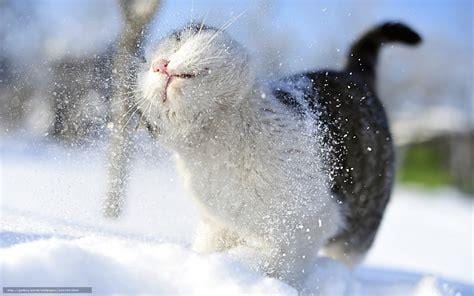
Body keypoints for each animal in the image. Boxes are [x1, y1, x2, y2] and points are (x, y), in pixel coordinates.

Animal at [135, 21, 420, 284]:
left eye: (177, 42)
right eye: (145, 68)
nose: (159, 64)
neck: (224, 142)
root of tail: (353, 74)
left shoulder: (311, 223)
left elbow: (276, 260)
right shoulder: (218, 225)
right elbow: (211, 248)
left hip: (359, 226)